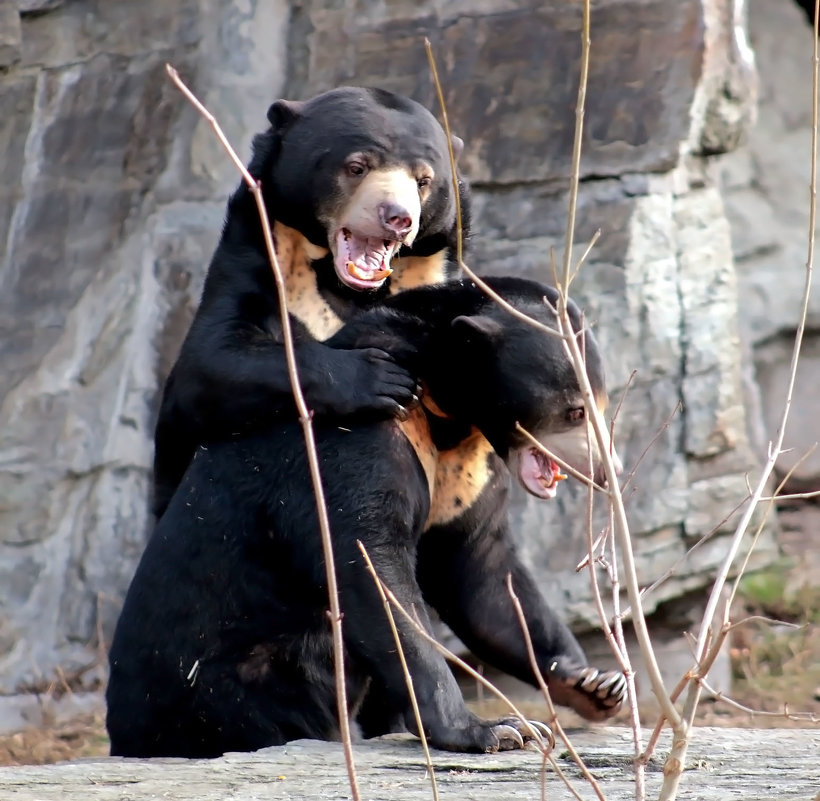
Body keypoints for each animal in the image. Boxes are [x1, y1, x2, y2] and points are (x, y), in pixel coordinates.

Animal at [107, 278, 620, 760]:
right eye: (575, 410)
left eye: (603, 402)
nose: (605, 470)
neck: (445, 412)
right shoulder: (358, 434)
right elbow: (371, 567)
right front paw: (495, 729)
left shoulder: (465, 475)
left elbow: (482, 574)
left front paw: (594, 684)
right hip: (239, 683)